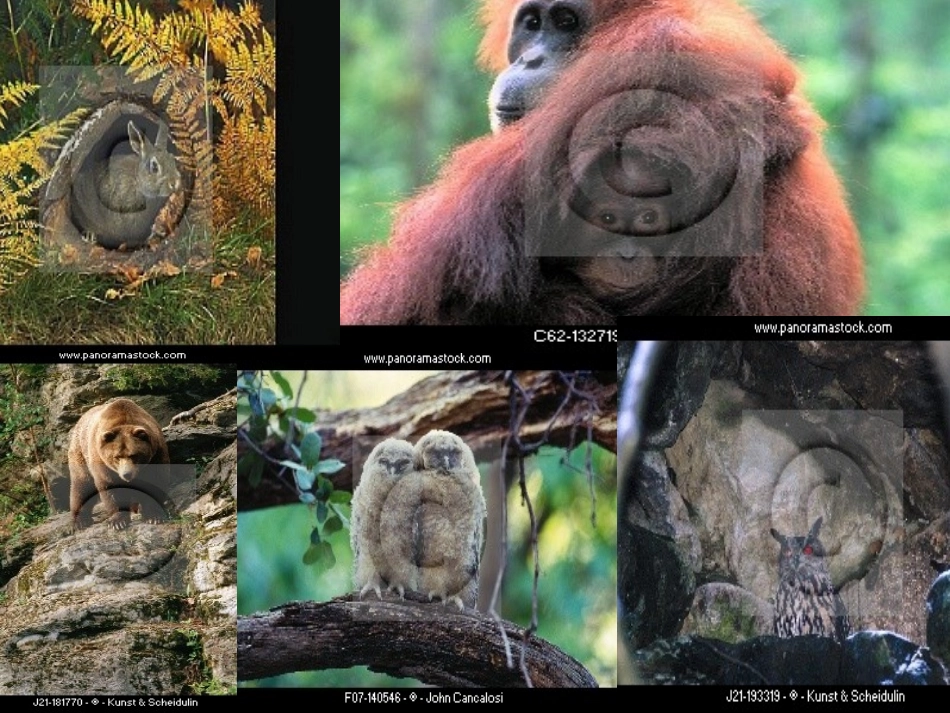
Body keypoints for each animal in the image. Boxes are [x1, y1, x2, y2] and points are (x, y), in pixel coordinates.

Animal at [68, 398, 171, 532]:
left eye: (133, 455)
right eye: (117, 457)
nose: (127, 474)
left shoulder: (156, 454)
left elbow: (155, 482)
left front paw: (154, 516)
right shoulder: (102, 462)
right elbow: (110, 487)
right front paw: (118, 522)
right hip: (80, 452)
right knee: (81, 484)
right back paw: (79, 521)